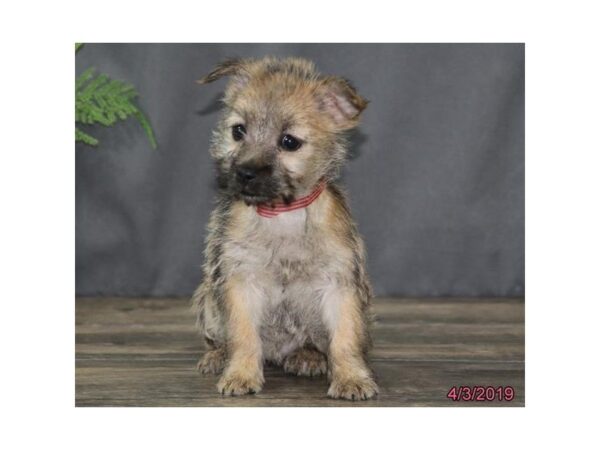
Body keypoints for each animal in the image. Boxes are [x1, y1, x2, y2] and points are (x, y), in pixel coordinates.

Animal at [195, 57, 378, 400]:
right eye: (238, 131)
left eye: (289, 142)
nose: (245, 173)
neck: (282, 214)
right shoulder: (240, 282)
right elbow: (243, 336)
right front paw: (240, 374)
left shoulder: (340, 286)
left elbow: (345, 338)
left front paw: (351, 378)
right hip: (209, 302)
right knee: (218, 338)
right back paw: (216, 356)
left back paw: (308, 356)